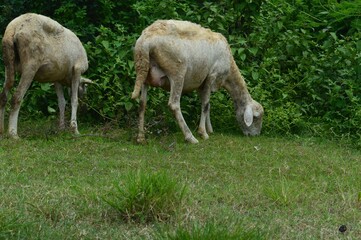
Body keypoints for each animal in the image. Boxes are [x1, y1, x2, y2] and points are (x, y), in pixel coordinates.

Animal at [131, 19, 262, 143]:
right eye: (256, 118)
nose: (255, 136)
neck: (229, 73)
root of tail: (146, 40)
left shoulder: (201, 83)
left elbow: (207, 105)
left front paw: (210, 129)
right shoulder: (212, 76)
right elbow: (205, 105)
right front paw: (203, 133)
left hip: (144, 72)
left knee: (142, 104)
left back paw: (140, 138)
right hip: (177, 71)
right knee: (174, 104)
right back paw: (190, 137)